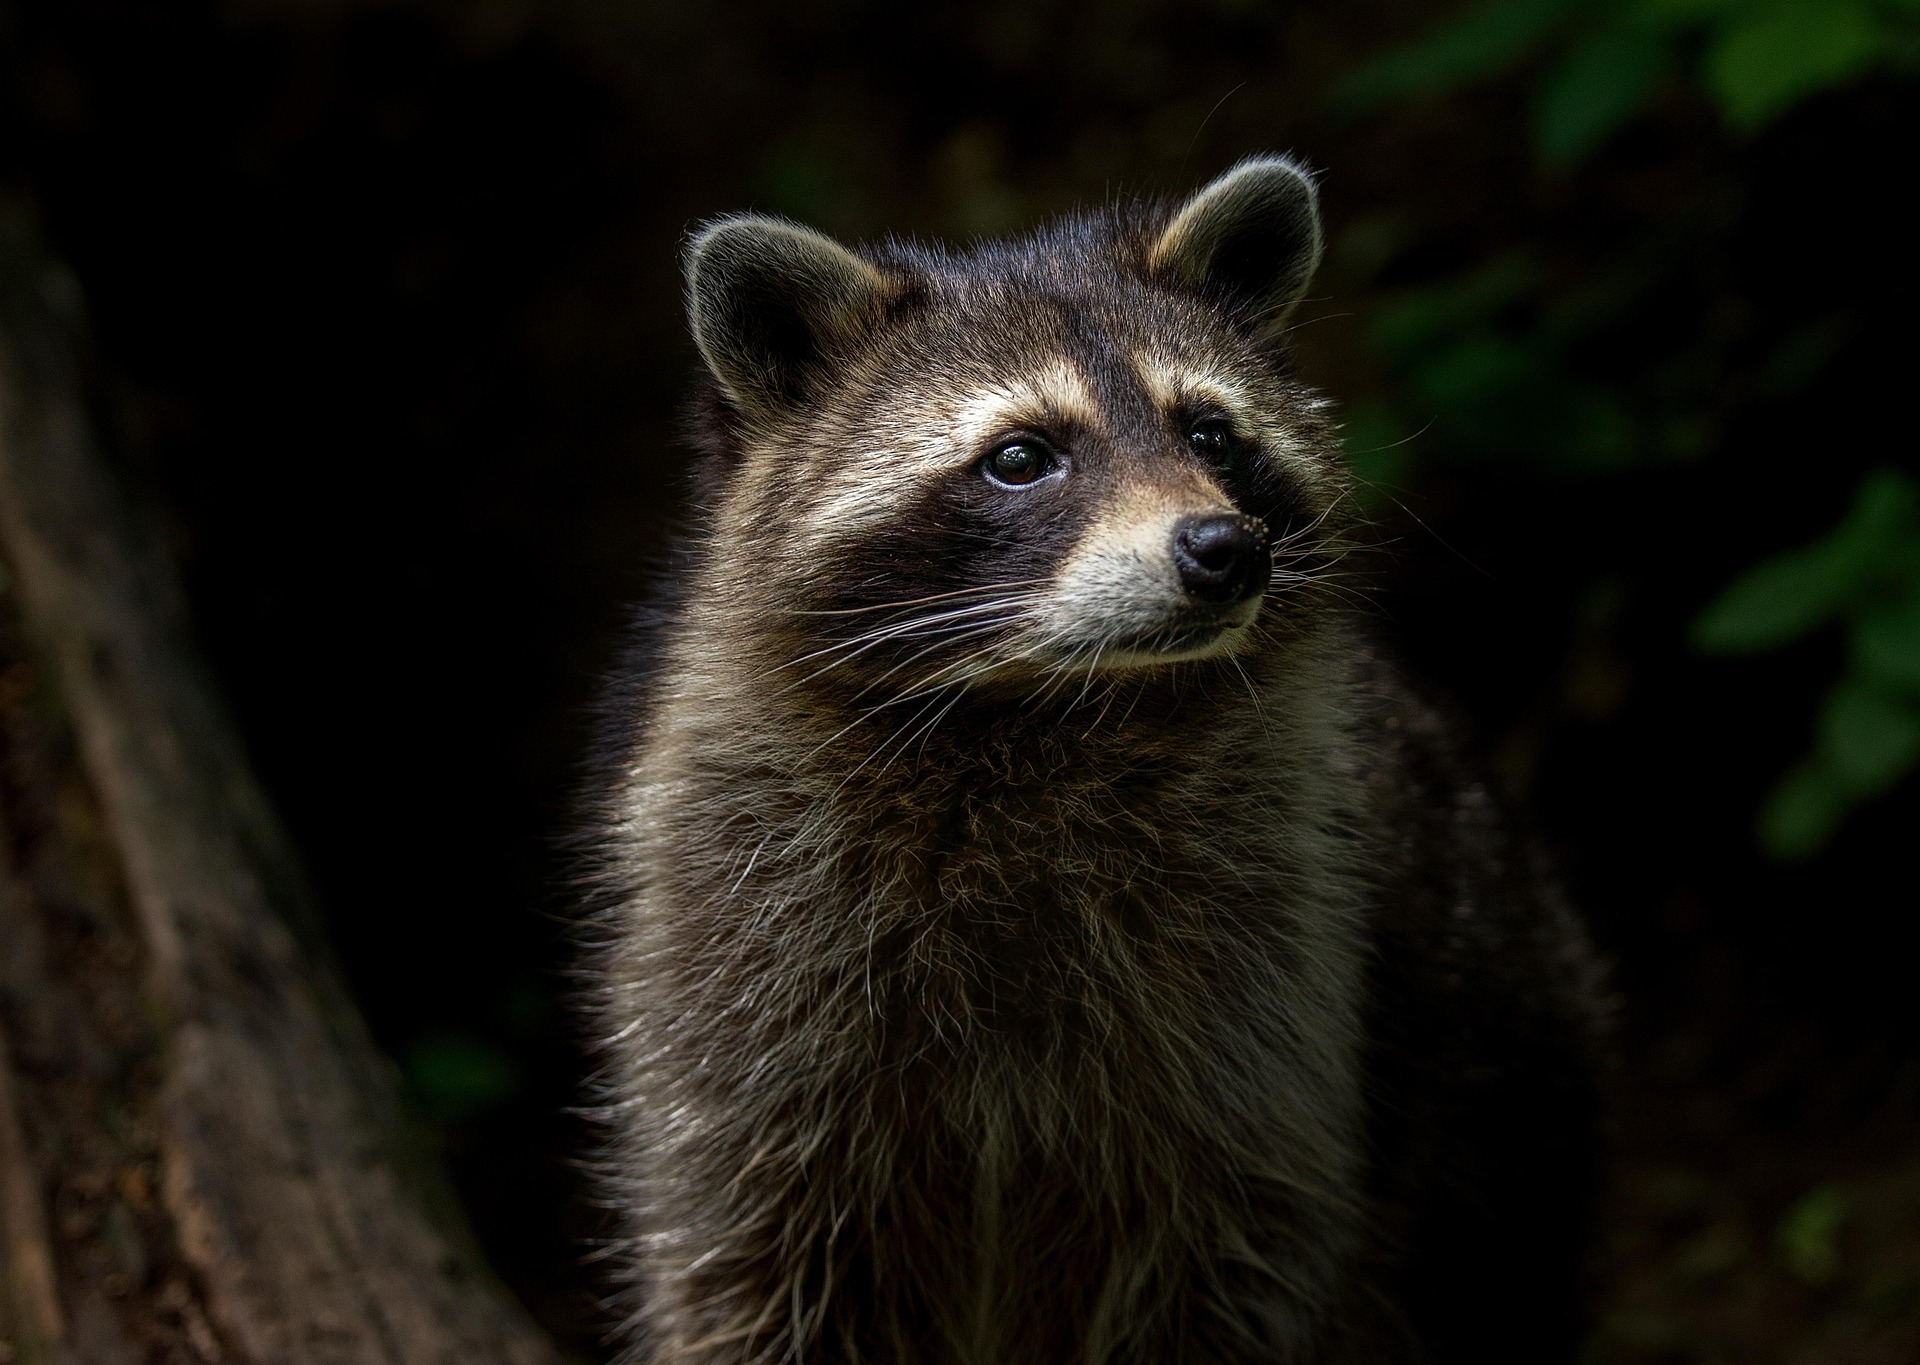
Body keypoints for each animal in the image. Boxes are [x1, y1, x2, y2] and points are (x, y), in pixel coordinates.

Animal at [583, 157, 1608, 1364]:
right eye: (1022, 457)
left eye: (1210, 435)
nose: (1225, 550)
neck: (1048, 711)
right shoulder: (735, 965)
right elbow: (752, 1262)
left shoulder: (1276, 978)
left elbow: (1229, 1256)